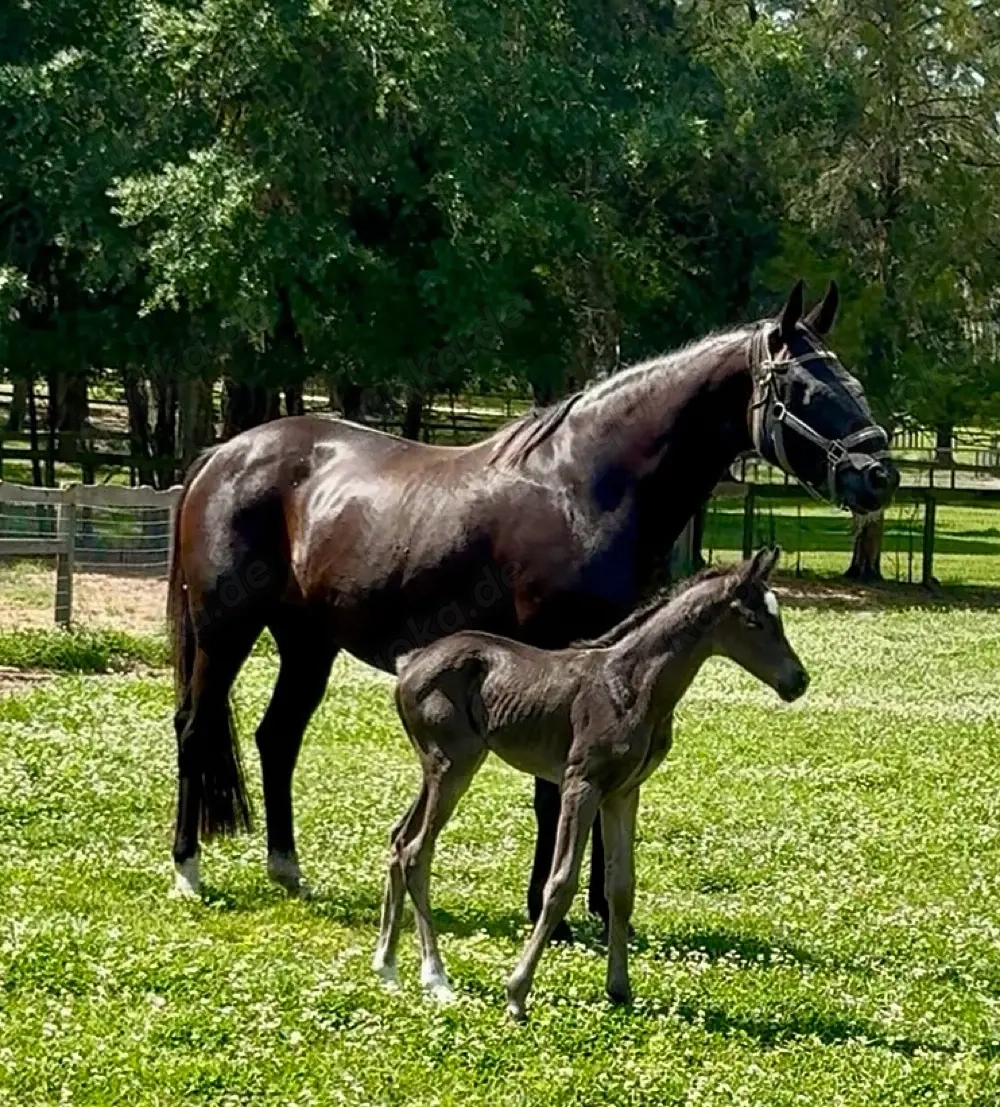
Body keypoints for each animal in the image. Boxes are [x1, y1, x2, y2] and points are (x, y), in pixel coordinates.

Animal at [167, 278, 897, 940]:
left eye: (851, 381)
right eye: (803, 388)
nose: (879, 475)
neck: (585, 487)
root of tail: (223, 454)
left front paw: (603, 909)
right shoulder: (558, 656)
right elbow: (552, 794)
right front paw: (553, 913)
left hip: (308, 642)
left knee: (277, 736)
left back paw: (287, 870)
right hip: (226, 633)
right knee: (195, 728)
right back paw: (188, 870)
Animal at [377, 547, 807, 1018]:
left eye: (778, 617)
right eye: (753, 621)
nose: (798, 681)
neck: (632, 685)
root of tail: (410, 663)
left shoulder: (623, 792)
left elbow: (620, 887)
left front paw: (619, 988)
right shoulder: (580, 784)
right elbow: (561, 883)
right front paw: (517, 993)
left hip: (438, 767)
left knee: (399, 839)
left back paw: (387, 967)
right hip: (453, 765)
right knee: (417, 851)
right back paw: (435, 977)